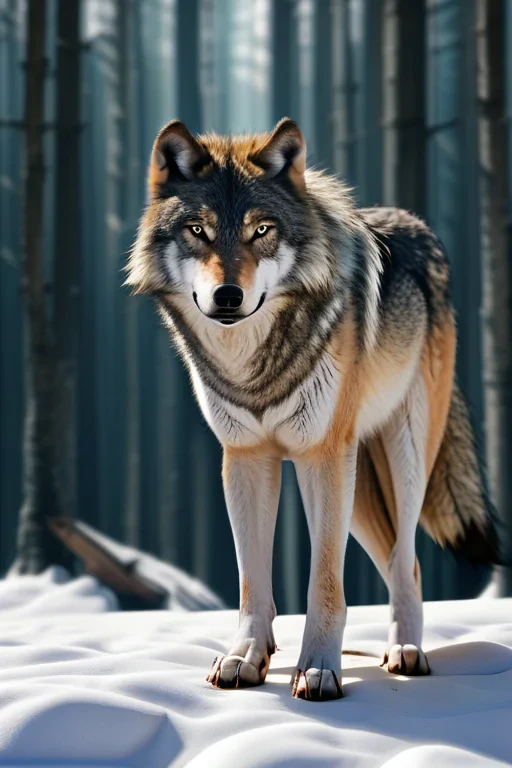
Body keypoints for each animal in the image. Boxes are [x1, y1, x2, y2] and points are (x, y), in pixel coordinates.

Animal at [127, 118, 499, 701]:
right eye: (199, 231)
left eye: (261, 230)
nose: (228, 296)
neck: (255, 368)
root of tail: (418, 223)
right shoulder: (247, 457)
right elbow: (252, 582)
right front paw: (246, 658)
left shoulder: (320, 458)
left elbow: (324, 581)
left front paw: (321, 669)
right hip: (360, 487)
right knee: (401, 558)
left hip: (402, 458)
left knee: (408, 561)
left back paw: (406, 651)